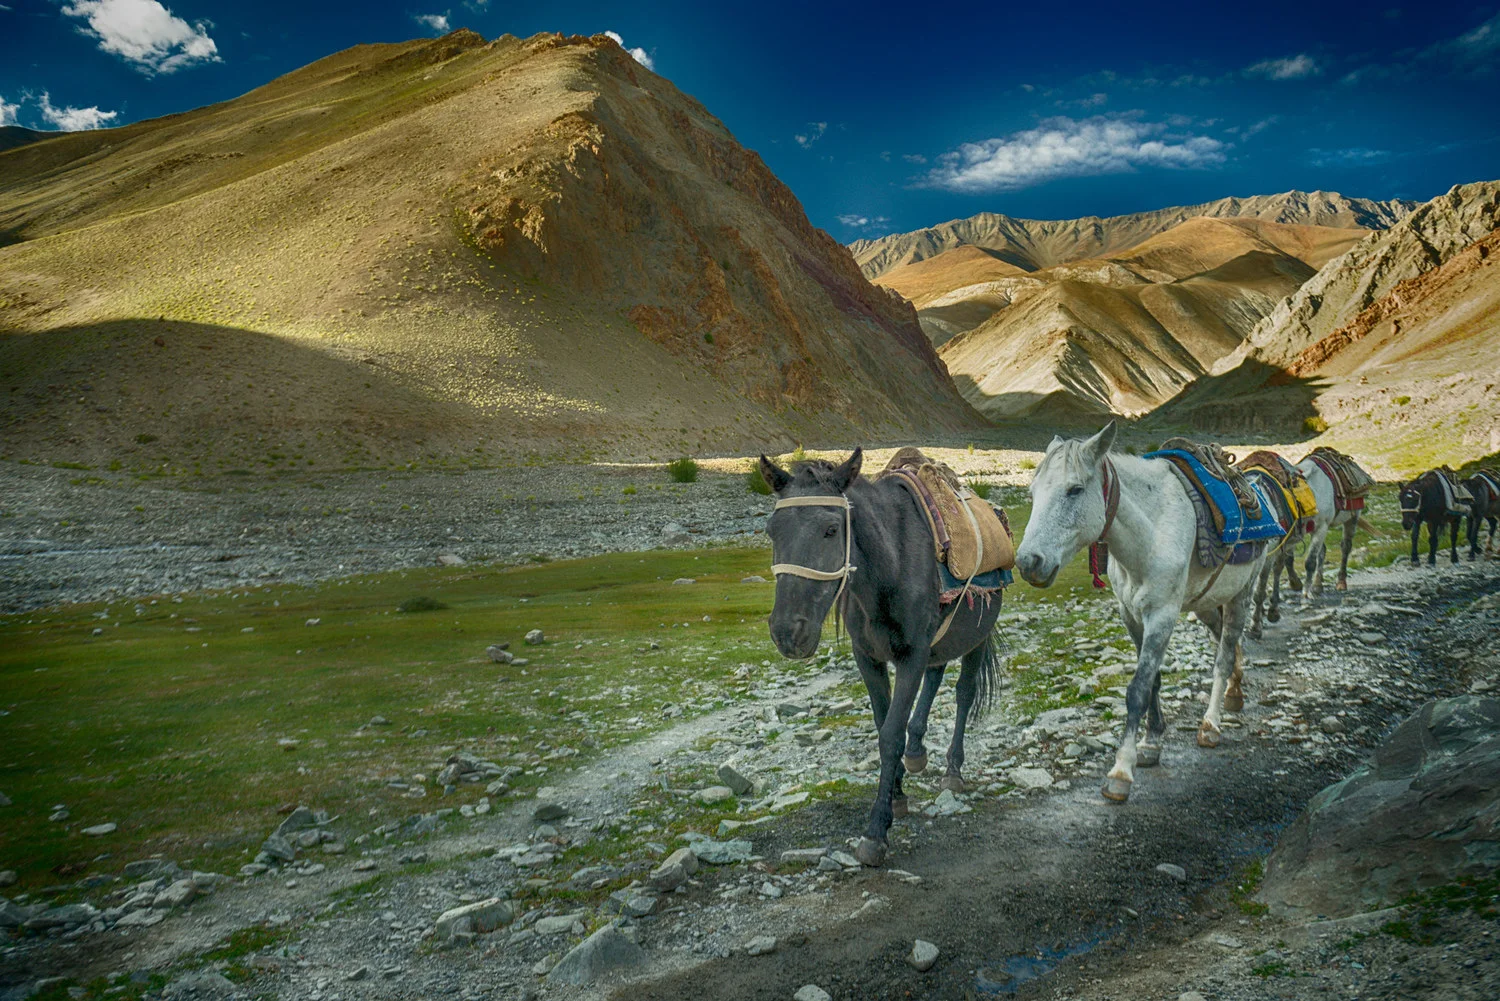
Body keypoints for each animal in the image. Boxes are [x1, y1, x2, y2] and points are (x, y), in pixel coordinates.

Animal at [759, 449, 1003, 867]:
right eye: (773, 530)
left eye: (831, 529)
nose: (788, 632)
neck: (890, 568)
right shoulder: (868, 658)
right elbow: (882, 722)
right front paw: (899, 792)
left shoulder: (910, 656)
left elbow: (891, 733)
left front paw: (877, 829)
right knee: (936, 676)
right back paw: (918, 751)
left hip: (977, 638)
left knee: (963, 693)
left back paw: (953, 770)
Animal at [1013, 423, 1266, 803]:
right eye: (1032, 492)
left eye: (1074, 490)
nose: (1028, 562)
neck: (1150, 537)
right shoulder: (1130, 615)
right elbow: (1154, 682)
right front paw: (1151, 742)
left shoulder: (1162, 616)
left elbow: (1137, 689)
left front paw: (1121, 771)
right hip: (1207, 603)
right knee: (1224, 638)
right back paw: (1234, 691)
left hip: (1241, 593)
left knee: (1223, 655)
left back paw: (1211, 724)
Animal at [1294, 454, 1366, 601]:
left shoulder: (1322, 526)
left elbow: (1310, 561)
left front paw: (1306, 592)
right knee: (1322, 551)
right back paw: (1317, 585)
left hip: (1352, 518)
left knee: (1346, 547)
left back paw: (1341, 582)